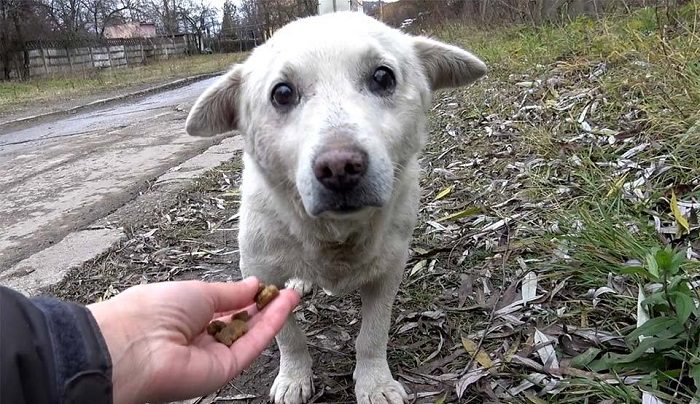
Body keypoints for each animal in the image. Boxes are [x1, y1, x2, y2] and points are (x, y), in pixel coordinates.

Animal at [183, 11, 484, 402]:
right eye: (282, 93)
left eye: (383, 77)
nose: (340, 167)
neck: (333, 235)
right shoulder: (260, 272)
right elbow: (289, 336)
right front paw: (294, 376)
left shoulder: (388, 272)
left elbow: (373, 334)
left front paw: (375, 382)